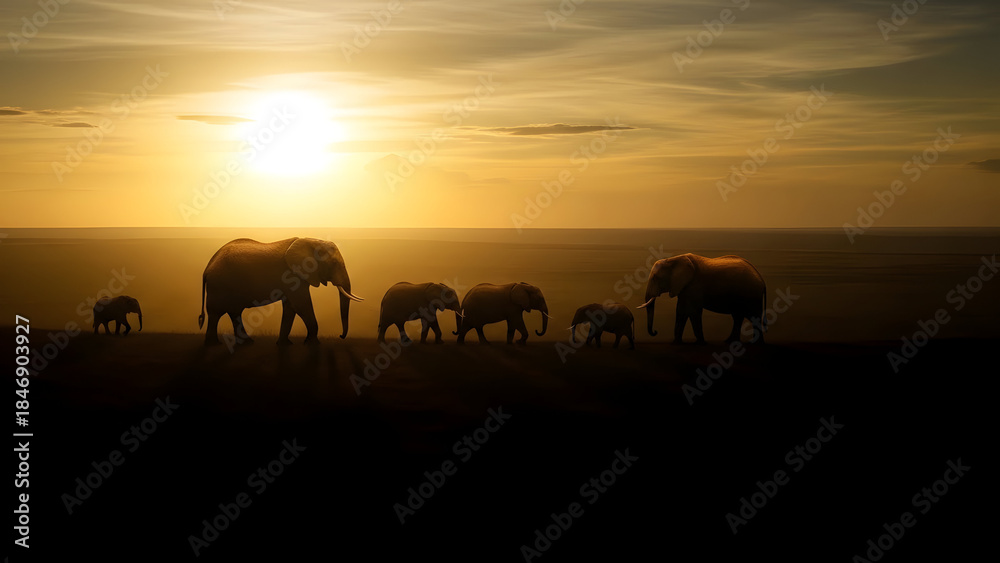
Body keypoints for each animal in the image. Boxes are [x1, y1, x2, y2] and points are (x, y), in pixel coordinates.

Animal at [198, 237, 364, 346]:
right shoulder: (293, 275)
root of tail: (207, 267)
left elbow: (291, 308)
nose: (341, 336)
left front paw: (285, 344)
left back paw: (247, 343)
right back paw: (213, 344)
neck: (312, 240)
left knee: (234, 312)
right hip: (219, 285)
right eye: (334, 263)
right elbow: (301, 305)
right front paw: (313, 343)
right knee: (216, 313)